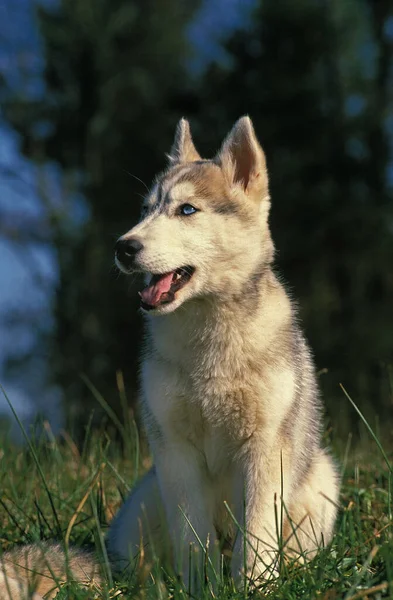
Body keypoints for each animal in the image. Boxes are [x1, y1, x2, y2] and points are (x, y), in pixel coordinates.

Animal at [0, 116, 336, 596]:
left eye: (187, 210)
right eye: (145, 210)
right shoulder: (175, 450)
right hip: (143, 502)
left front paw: (253, 587)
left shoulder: (266, 447)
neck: (209, 343)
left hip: (322, 481)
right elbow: (193, 535)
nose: (123, 247)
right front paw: (201, 587)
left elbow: (256, 534)